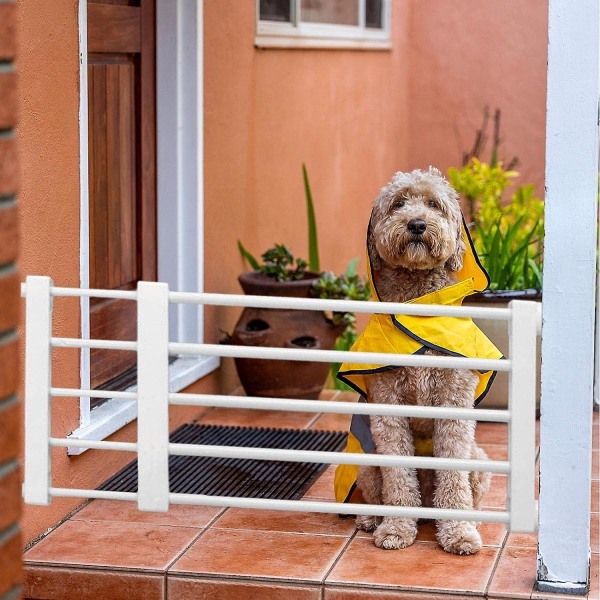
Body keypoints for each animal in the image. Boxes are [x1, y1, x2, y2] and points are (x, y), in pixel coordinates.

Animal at [336, 166, 500, 556]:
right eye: (398, 203)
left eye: (433, 204)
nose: (416, 224)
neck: (418, 305)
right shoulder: (388, 404)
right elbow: (399, 475)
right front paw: (396, 528)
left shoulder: (453, 403)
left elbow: (453, 476)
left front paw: (459, 533)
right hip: (366, 463)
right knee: (377, 493)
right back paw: (372, 519)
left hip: (479, 460)